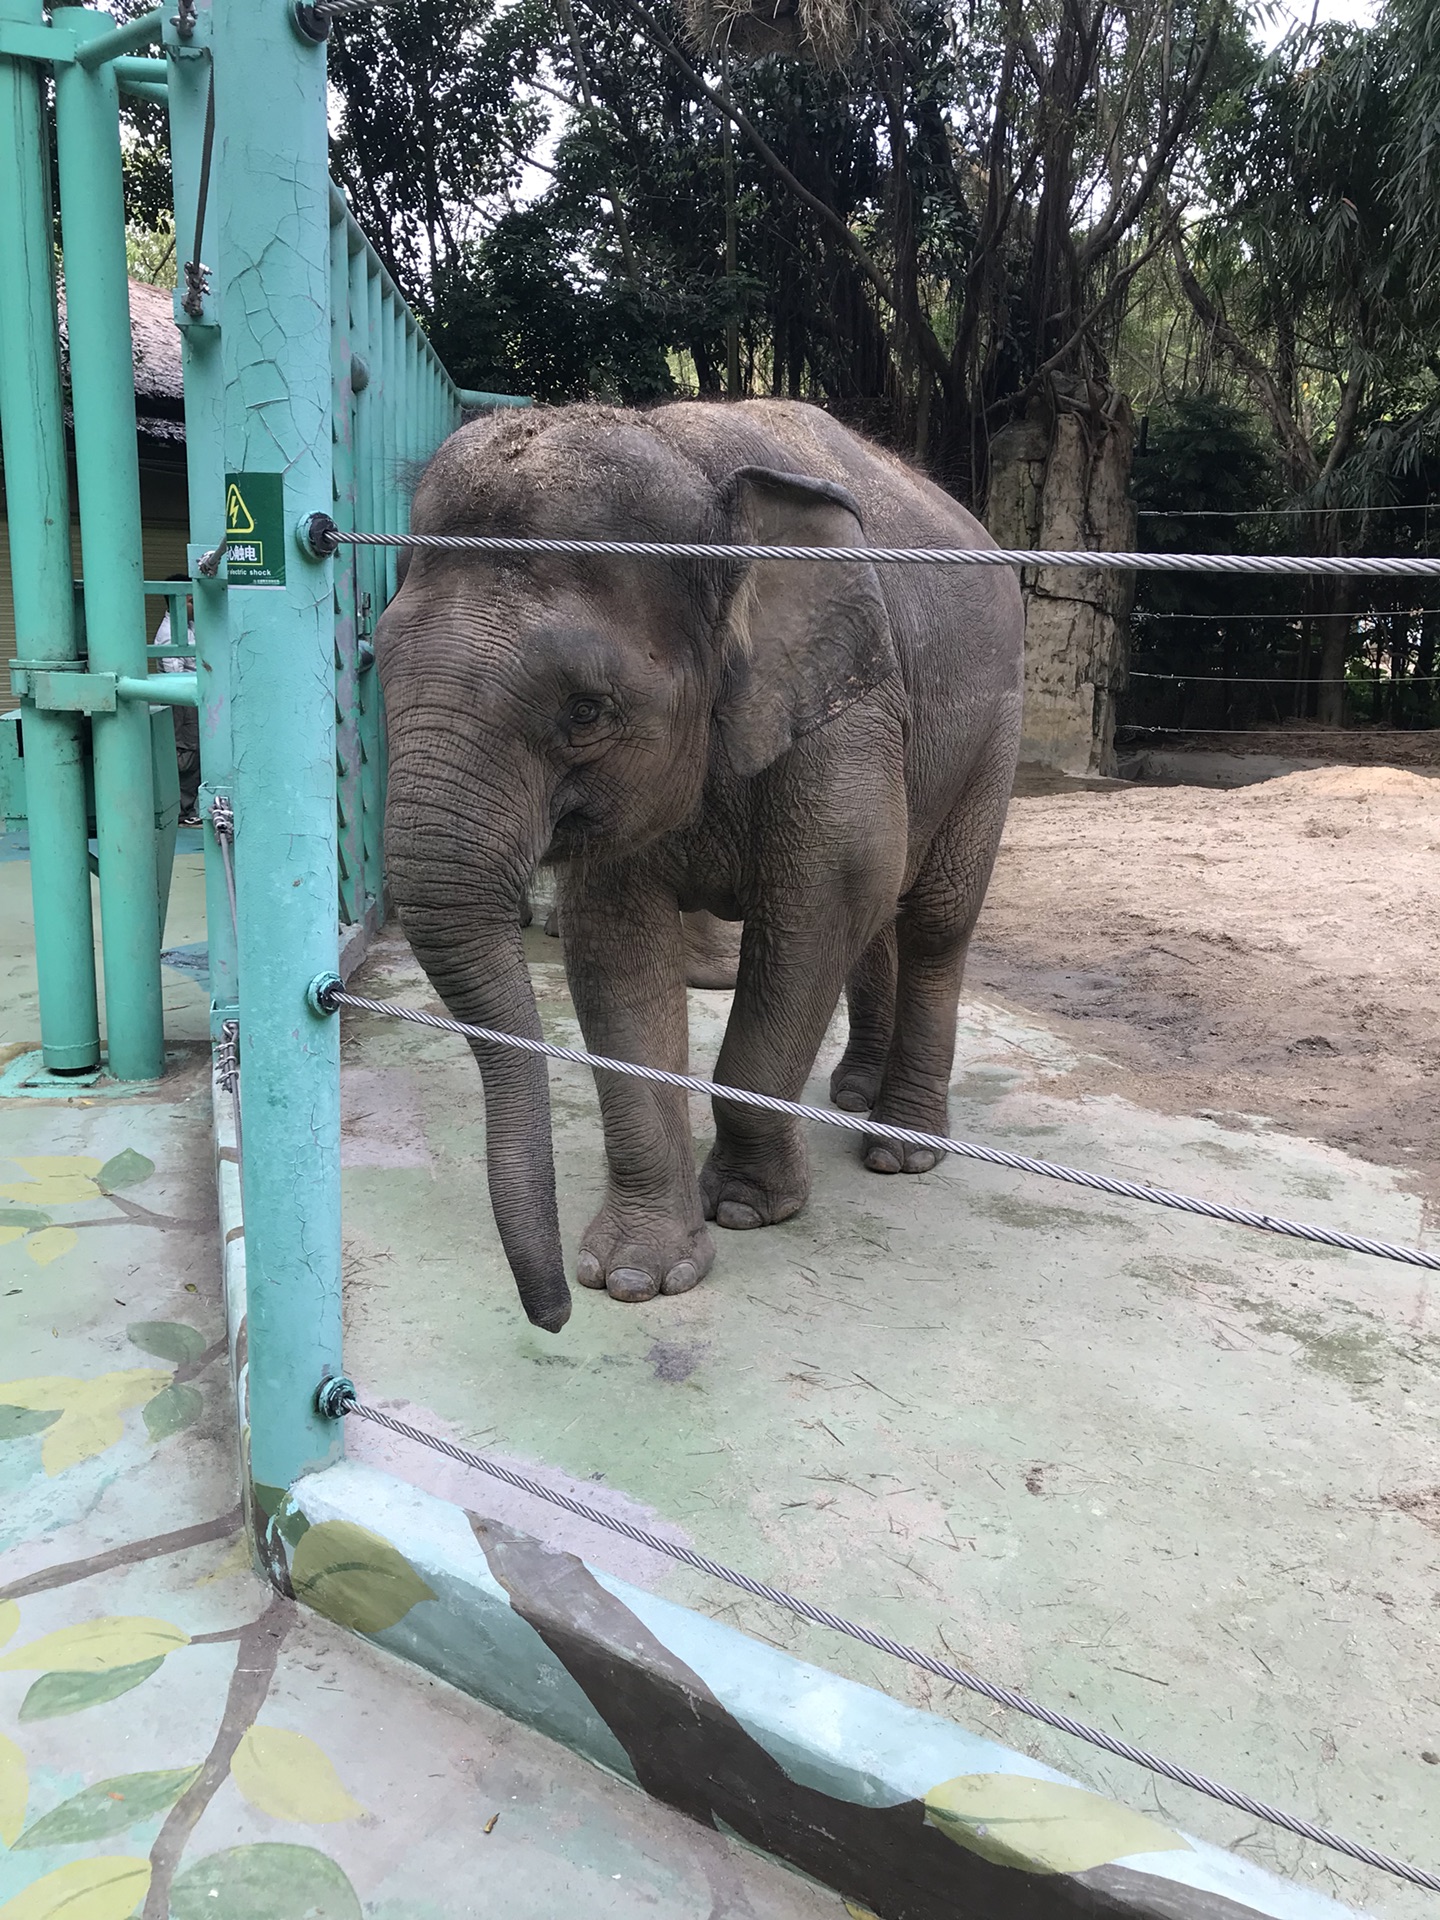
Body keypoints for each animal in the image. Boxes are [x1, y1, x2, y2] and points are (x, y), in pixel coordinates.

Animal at [372, 401, 1029, 1336]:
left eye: (586, 710)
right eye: (376, 663)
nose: (552, 1314)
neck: (685, 456)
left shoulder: (849, 712)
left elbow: (822, 906)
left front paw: (749, 1209)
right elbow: (614, 944)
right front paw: (634, 1274)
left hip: (995, 730)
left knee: (933, 917)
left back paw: (900, 1150)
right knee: (882, 924)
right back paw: (852, 1095)